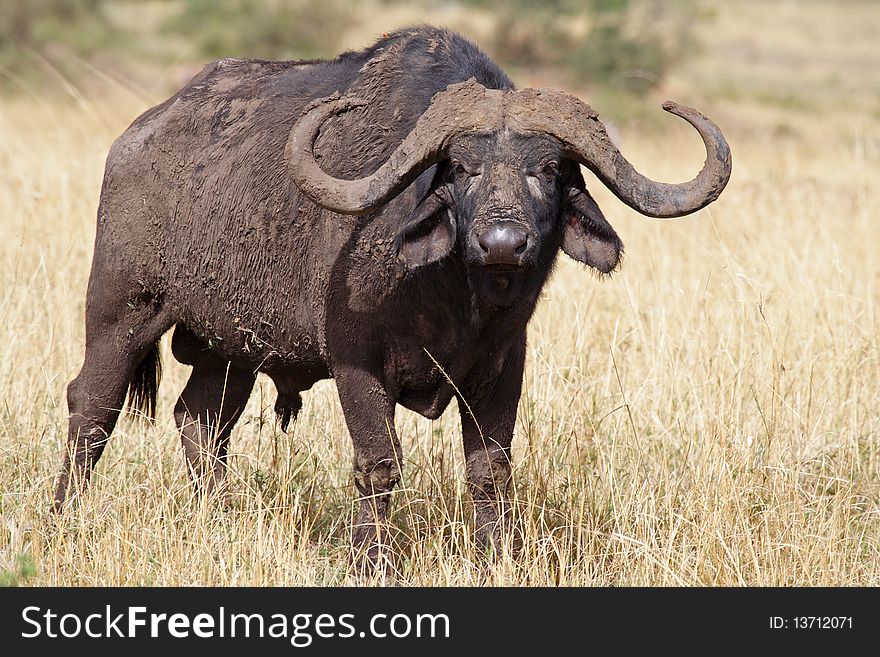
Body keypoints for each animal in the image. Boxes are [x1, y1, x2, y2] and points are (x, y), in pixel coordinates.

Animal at [51, 25, 732, 568]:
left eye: (547, 169)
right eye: (461, 169)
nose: (503, 241)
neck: (452, 298)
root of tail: (135, 138)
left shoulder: (502, 367)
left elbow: (489, 470)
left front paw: (496, 556)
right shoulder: (357, 365)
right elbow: (378, 464)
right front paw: (368, 558)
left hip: (230, 347)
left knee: (201, 424)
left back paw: (216, 516)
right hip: (122, 309)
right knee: (92, 407)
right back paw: (65, 517)